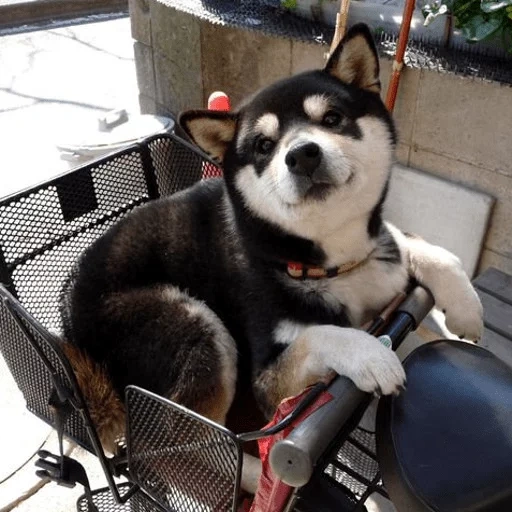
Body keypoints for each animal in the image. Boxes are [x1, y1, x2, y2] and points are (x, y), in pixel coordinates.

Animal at [61, 23, 484, 488]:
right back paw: (252, 478)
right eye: (264, 145)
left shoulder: (380, 250)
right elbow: (321, 335)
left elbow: (425, 247)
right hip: (195, 324)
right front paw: (371, 354)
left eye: (332, 118)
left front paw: (464, 306)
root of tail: (69, 326)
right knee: (185, 440)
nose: (302, 154)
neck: (330, 262)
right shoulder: (269, 385)